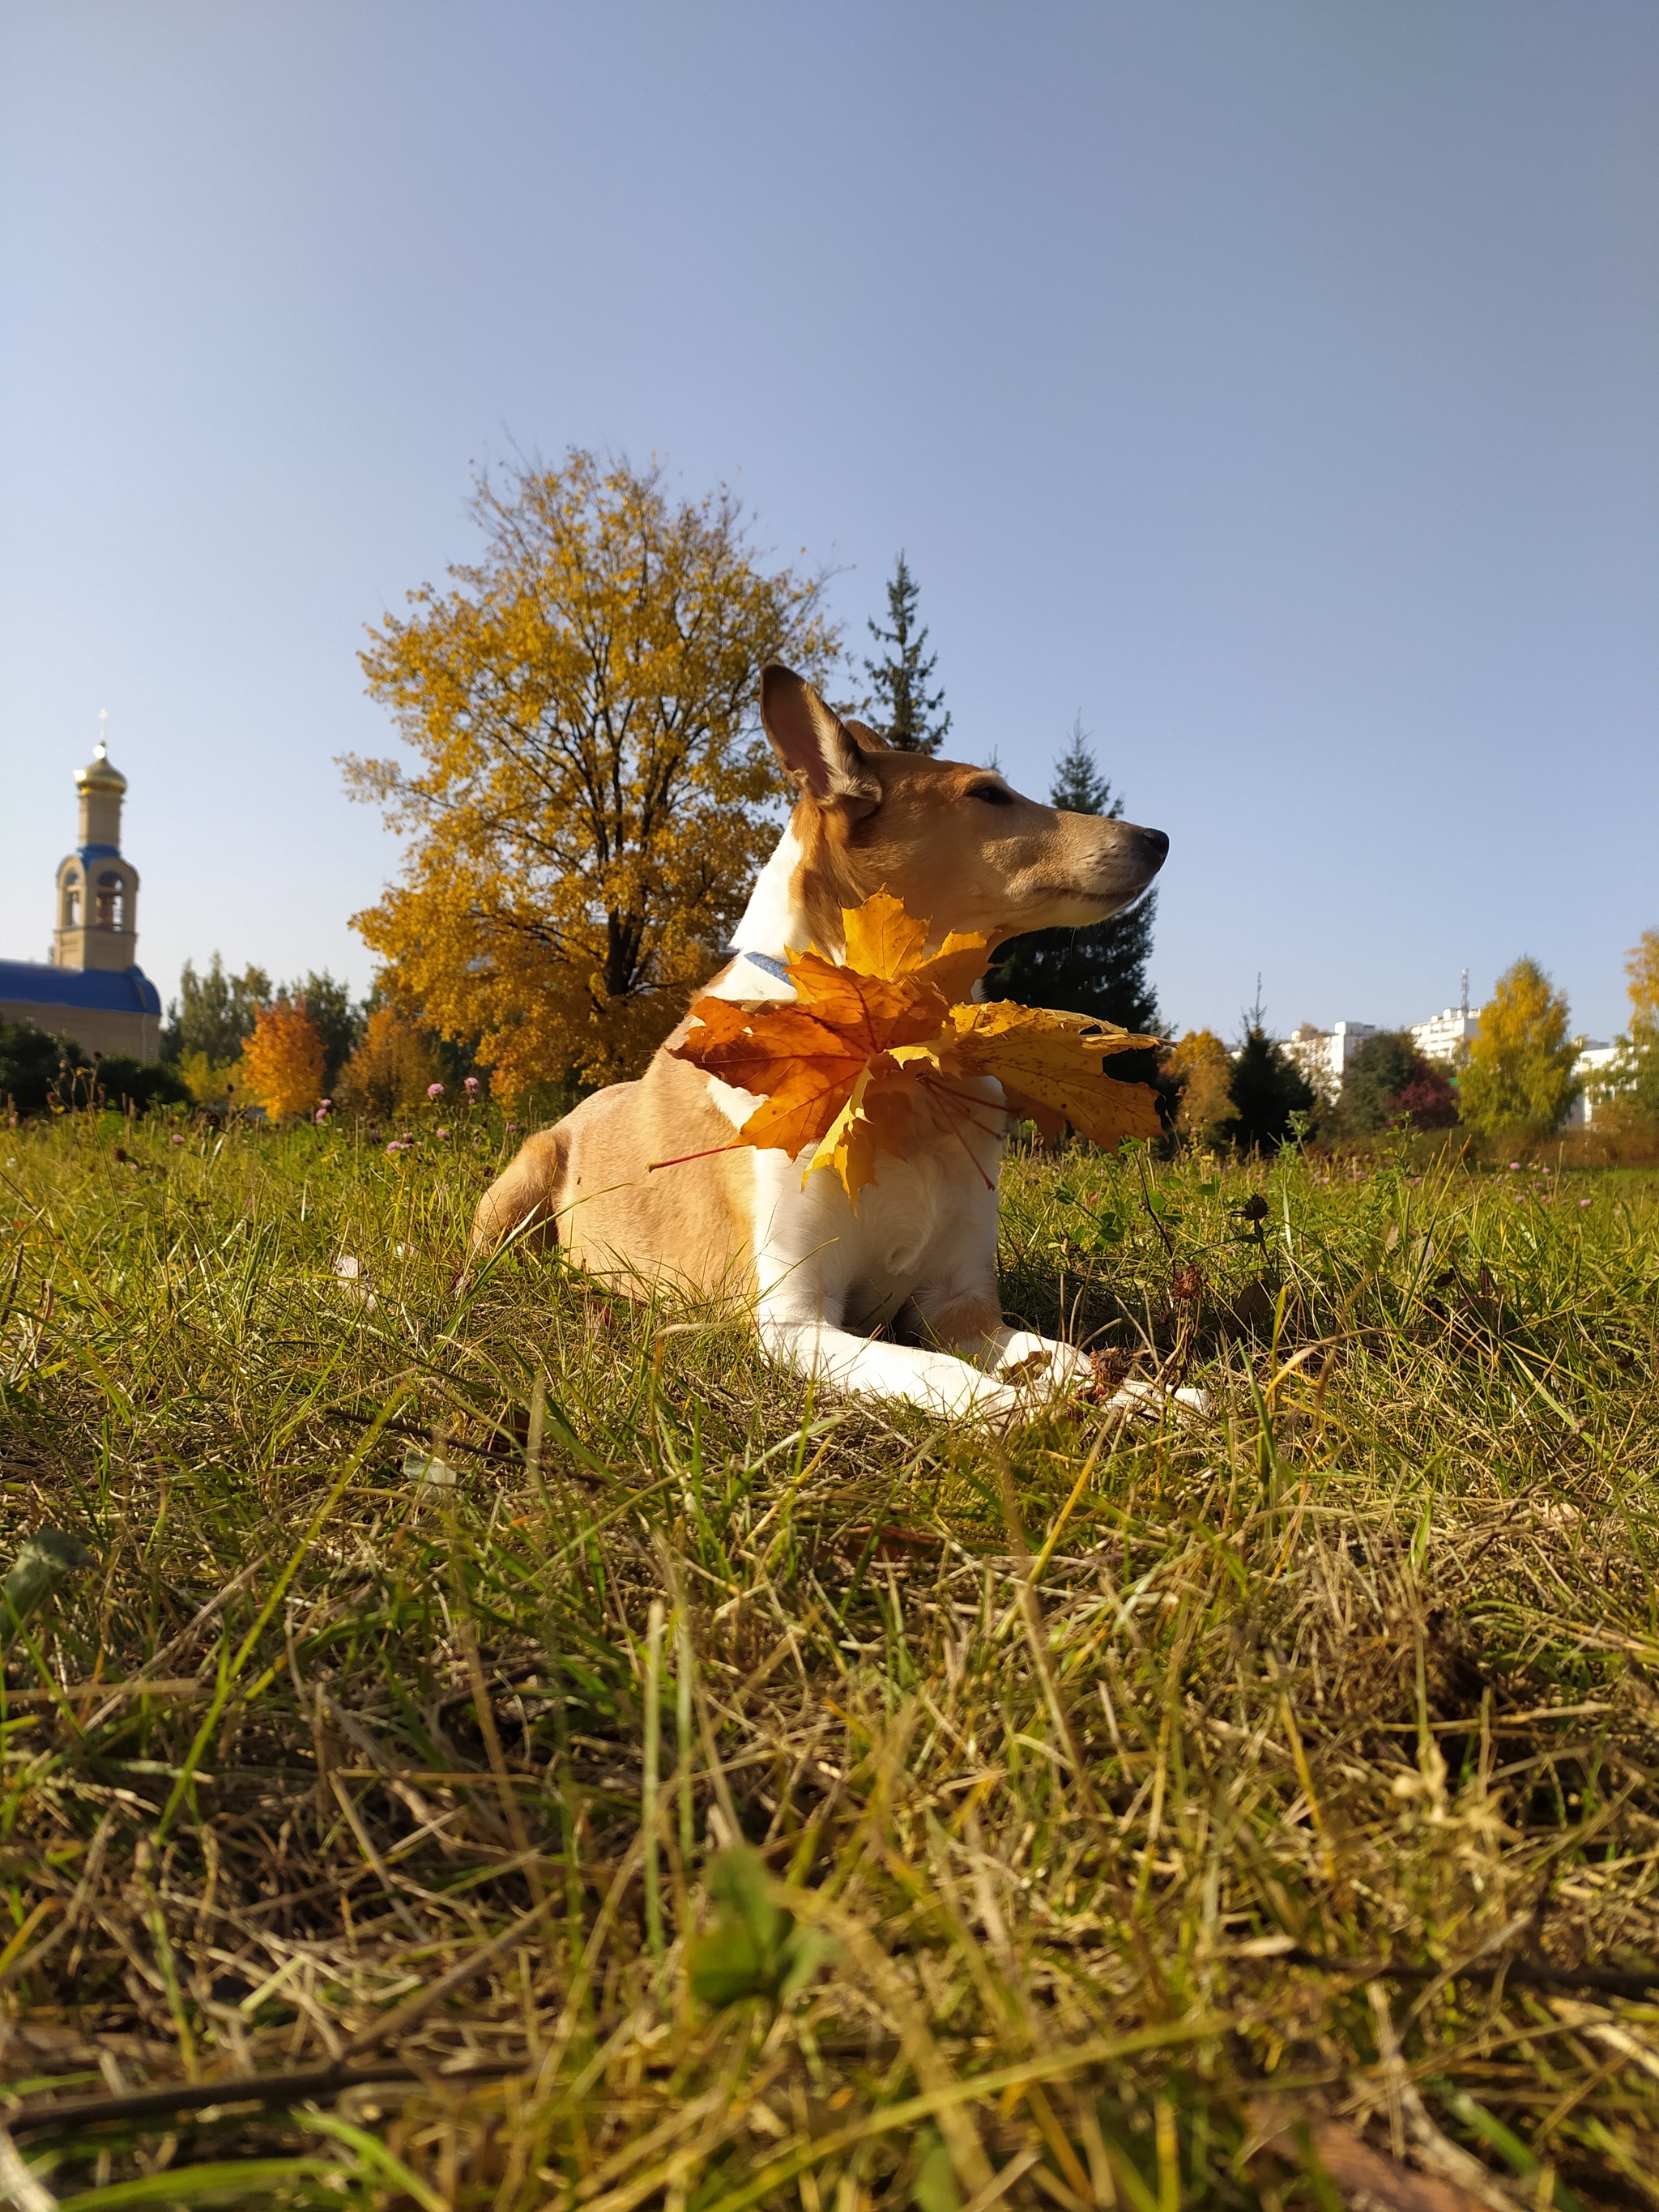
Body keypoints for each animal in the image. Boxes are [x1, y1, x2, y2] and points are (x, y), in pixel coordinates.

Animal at [464, 663, 1185, 1415]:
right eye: (987, 793)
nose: (1158, 838)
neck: (900, 1049)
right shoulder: (794, 1320)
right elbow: (943, 1372)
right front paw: (1031, 1415)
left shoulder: (959, 1306)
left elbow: (1066, 1355)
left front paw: (1154, 1396)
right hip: (520, 1187)